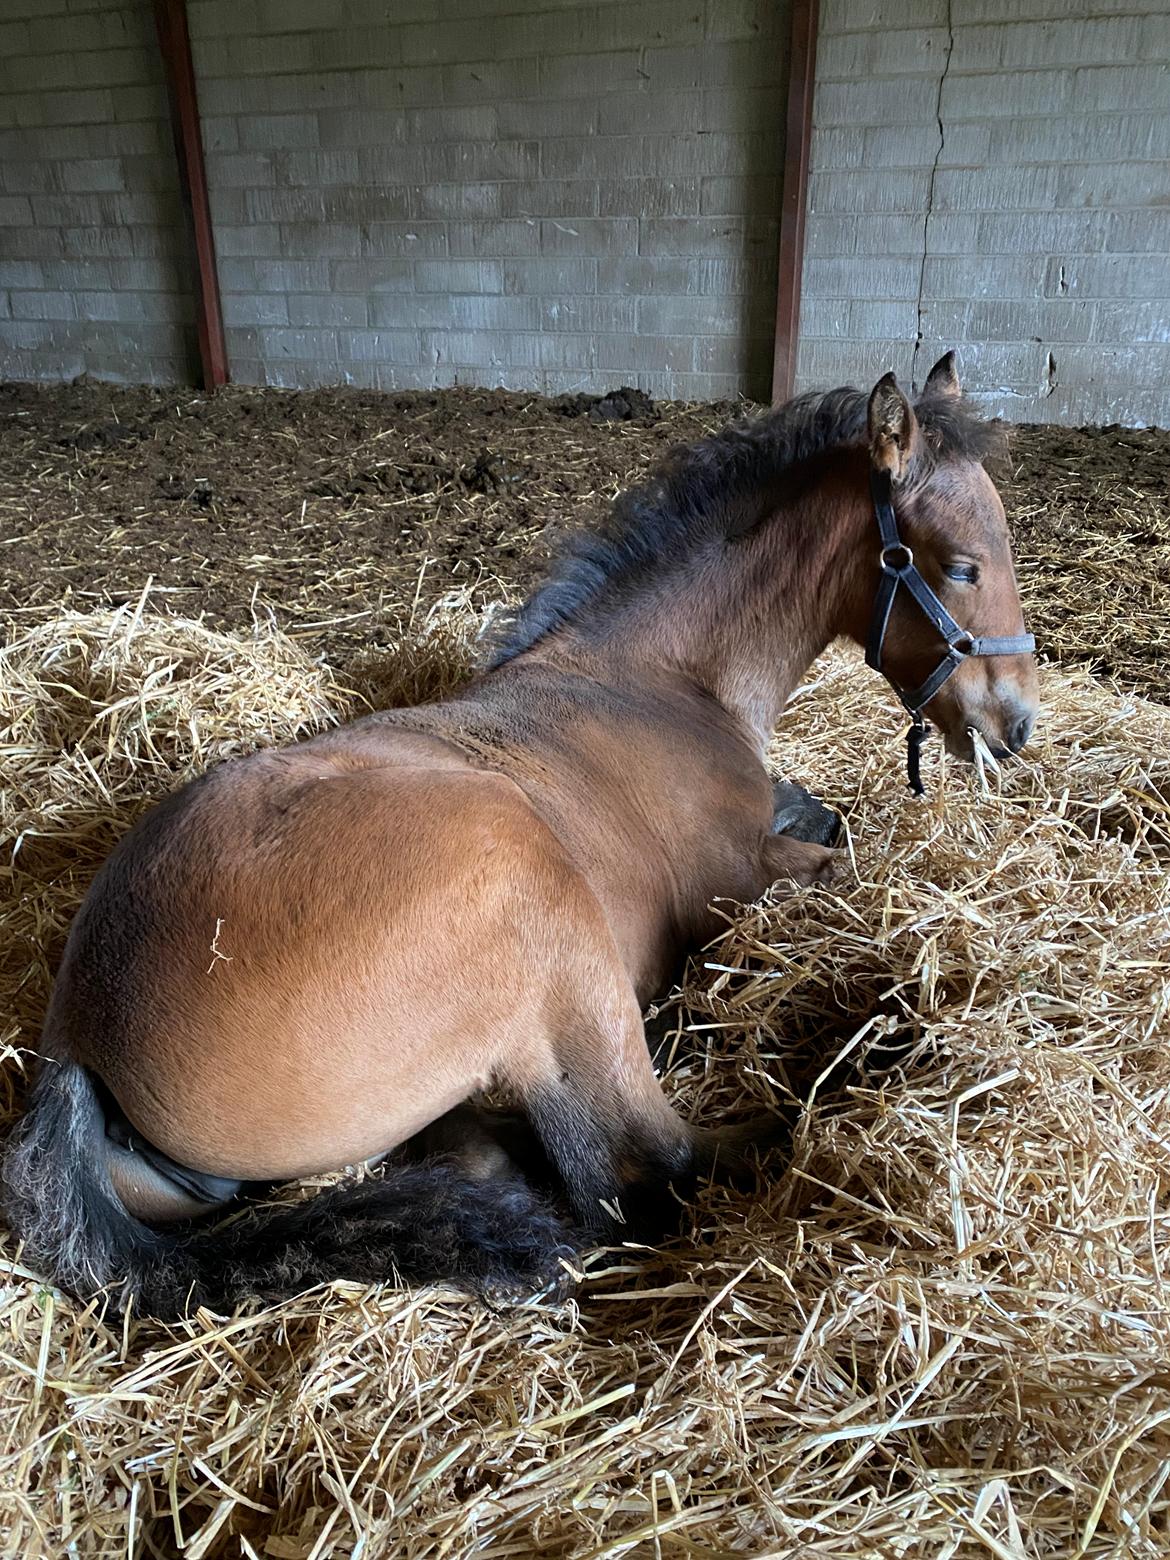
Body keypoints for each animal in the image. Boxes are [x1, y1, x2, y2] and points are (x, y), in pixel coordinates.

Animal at [4, 357, 1042, 1316]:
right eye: (959, 566)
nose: (1017, 725)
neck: (659, 683)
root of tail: (82, 1048)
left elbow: (825, 813)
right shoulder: (734, 878)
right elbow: (846, 857)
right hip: (535, 891)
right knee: (642, 1160)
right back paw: (859, 1062)